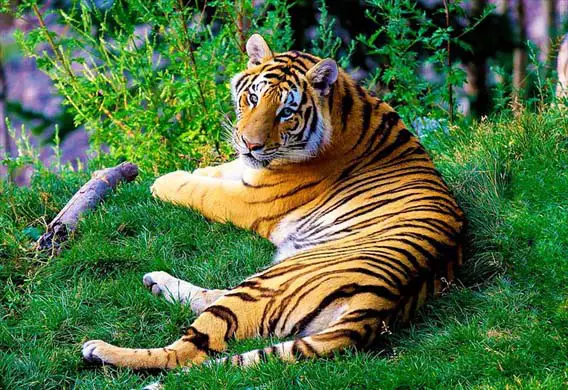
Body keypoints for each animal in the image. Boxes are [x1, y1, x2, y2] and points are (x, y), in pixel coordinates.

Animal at [83, 34, 466, 372]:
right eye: (252, 98)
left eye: (286, 112)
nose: (250, 144)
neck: (344, 106)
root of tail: (380, 305)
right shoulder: (248, 172)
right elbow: (220, 171)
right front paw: (197, 169)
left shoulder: (251, 199)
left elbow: (202, 191)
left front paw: (164, 181)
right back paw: (157, 281)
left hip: (265, 284)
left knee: (188, 352)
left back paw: (100, 350)